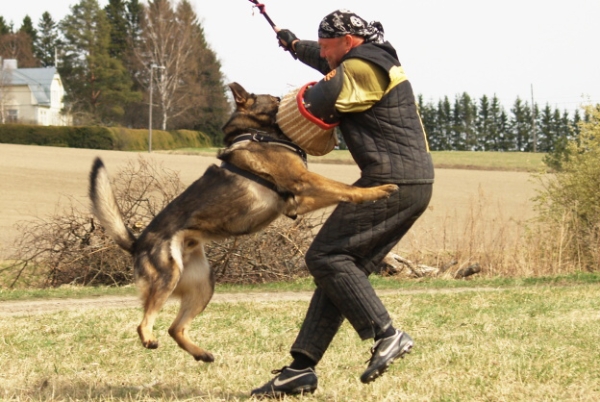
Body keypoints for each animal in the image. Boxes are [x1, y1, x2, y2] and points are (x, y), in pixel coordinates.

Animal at [89, 83, 398, 362]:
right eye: (275, 99)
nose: (293, 97)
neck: (259, 133)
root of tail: (138, 242)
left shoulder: (296, 201)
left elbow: (341, 191)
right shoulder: (303, 181)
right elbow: (345, 188)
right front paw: (378, 190)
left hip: (204, 285)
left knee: (175, 328)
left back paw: (202, 354)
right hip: (168, 275)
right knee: (144, 322)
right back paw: (149, 339)